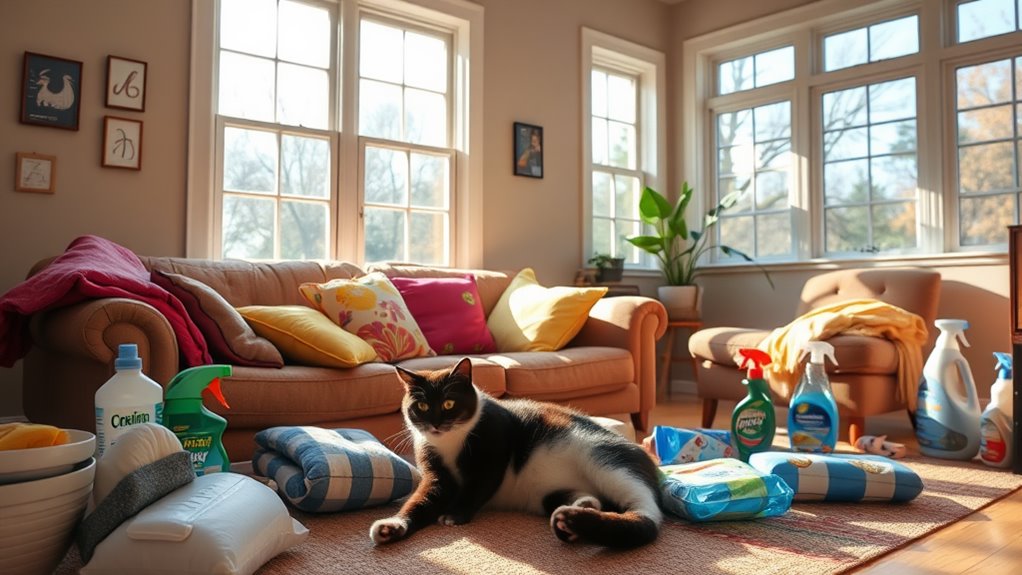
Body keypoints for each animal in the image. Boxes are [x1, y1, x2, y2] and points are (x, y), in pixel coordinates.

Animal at [367, 357, 662, 551]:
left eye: (449, 403)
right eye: (422, 406)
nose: (435, 424)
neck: (451, 442)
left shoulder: (493, 451)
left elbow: (478, 486)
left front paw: (455, 515)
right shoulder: (435, 472)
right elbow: (421, 499)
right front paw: (393, 527)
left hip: (601, 456)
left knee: (648, 517)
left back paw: (575, 520)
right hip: (550, 494)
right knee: (586, 498)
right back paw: (574, 516)